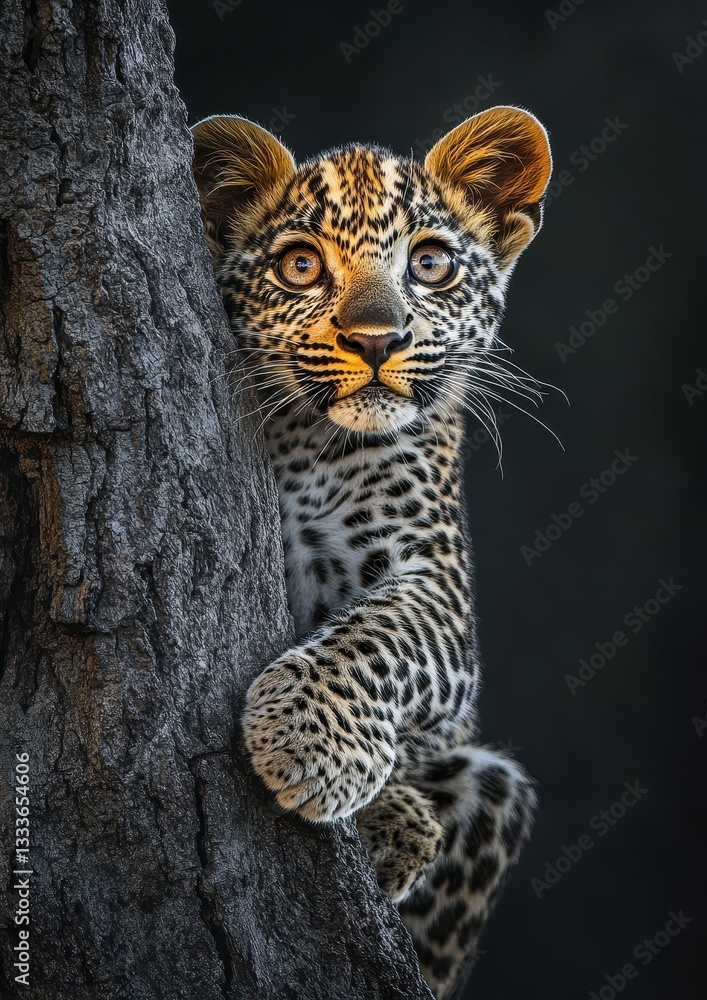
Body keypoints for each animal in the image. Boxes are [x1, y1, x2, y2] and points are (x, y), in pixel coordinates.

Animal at [192, 105, 552, 1000]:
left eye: (429, 263)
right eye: (299, 266)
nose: (377, 340)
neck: (309, 445)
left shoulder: (439, 593)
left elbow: (377, 638)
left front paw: (304, 740)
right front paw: (381, 809)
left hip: (493, 787)